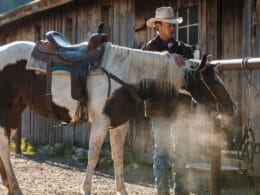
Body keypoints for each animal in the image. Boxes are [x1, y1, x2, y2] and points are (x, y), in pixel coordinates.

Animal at [0, 40, 236, 194]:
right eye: (209, 79)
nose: (232, 107)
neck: (127, 74)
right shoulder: (101, 121)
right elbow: (93, 155)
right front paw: (86, 189)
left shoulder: (119, 124)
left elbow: (117, 156)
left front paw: (121, 190)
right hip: (6, 111)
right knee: (4, 146)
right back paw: (15, 186)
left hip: (16, 111)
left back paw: (8, 184)